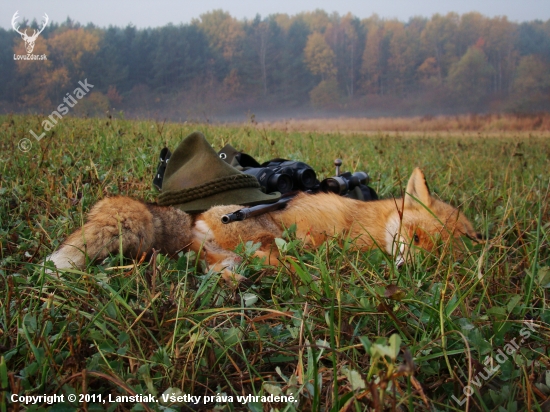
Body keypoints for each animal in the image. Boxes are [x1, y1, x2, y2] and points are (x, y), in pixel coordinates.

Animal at [45, 167, 480, 280]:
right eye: (415, 236)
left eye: (440, 257)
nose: (408, 270)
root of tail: (198, 214)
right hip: (269, 240)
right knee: (273, 263)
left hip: (225, 248)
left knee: (207, 260)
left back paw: (228, 279)